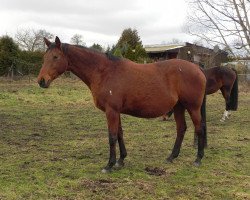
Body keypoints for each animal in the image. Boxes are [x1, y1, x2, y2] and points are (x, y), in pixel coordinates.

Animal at [36, 36, 205, 173]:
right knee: (181, 129)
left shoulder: (111, 111)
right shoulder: (115, 111)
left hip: (193, 107)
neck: (104, 72)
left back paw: (198, 159)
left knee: (199, 128)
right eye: (44, 57)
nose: (41, 81)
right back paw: (171, 157)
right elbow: (119, 134)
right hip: (178, 107)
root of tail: (198, 68)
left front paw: (109, 165)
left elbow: (111, 136)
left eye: (56, 57)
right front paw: (120, 161)